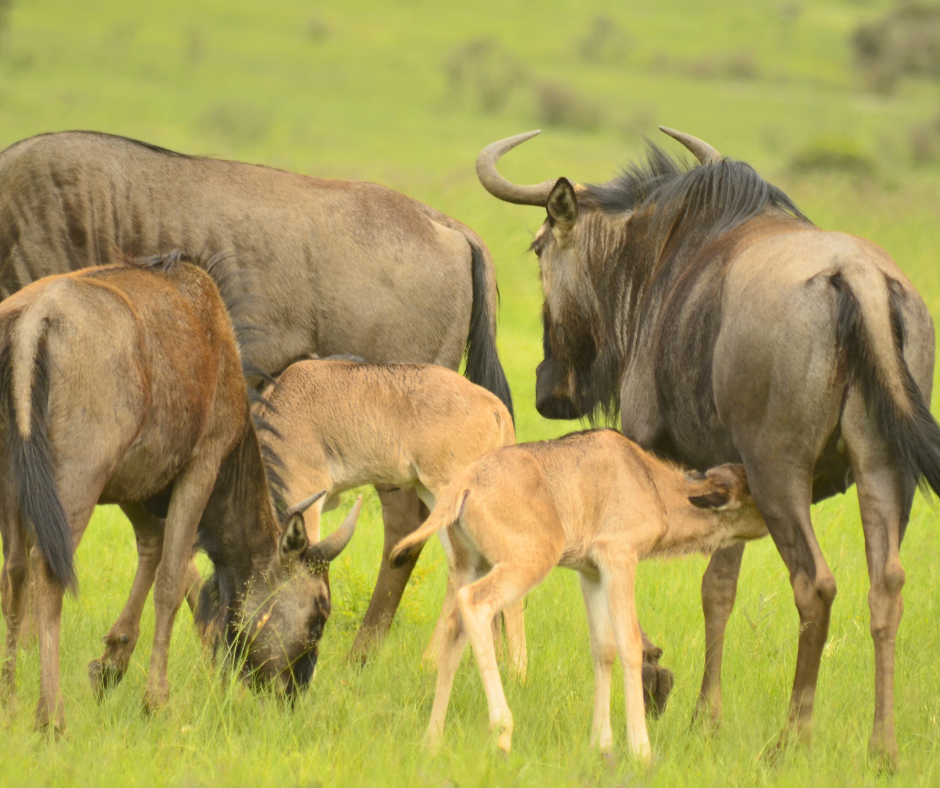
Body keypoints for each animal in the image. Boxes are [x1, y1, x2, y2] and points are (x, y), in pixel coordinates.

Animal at [390, 428, 766, 760]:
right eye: (753, 495)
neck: (648, 482)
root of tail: (466, 484)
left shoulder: (591, 573)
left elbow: (603, 649)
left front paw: (601, 744)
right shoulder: (619, 559)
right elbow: (630, 645)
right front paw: (641, 751)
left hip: (472, 564)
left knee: (454, 626)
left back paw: (432, 741)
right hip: (527, 563)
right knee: (476, 603)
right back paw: (502, 730)